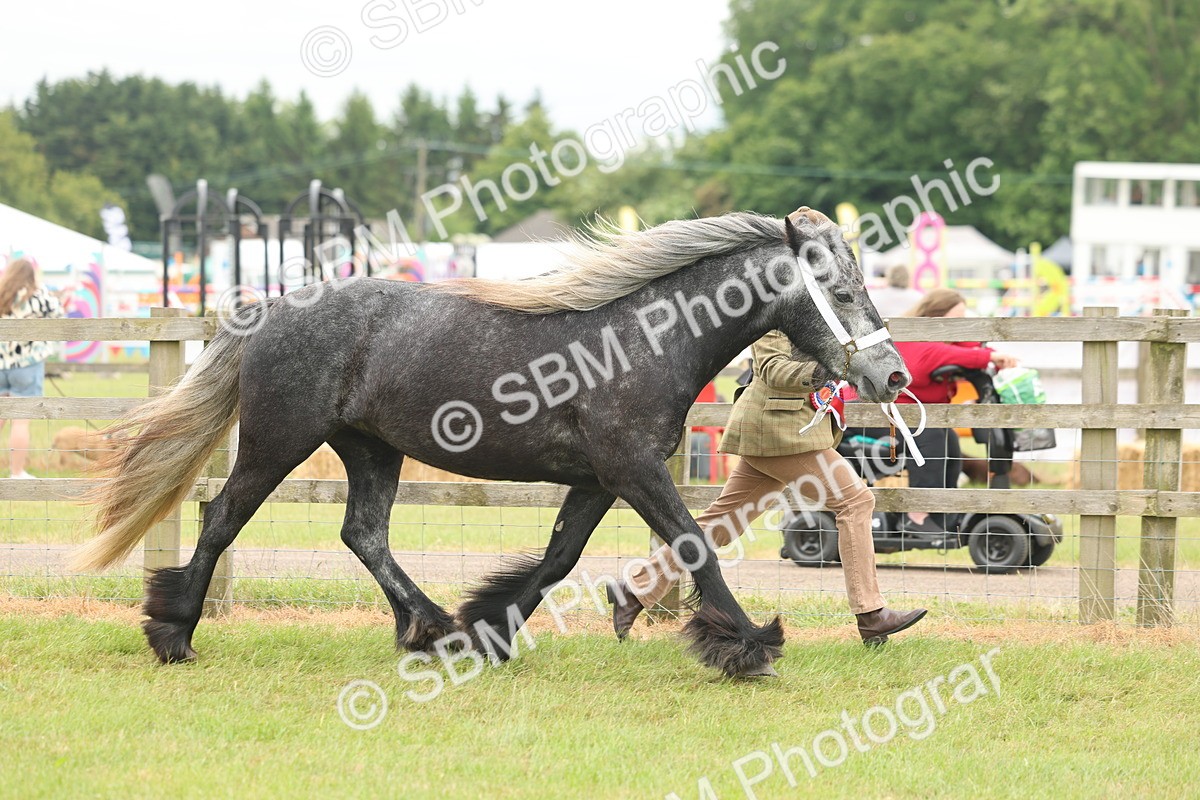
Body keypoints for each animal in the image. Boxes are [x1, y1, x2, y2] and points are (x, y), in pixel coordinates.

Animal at [72, 206, 909, 678]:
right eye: (840, 290)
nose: (893, 374)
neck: (642, 340)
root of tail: (268, 310)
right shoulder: (634, 471)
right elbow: (694, 545)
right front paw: (748, 646)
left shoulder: (600, 480)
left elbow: (559, 558)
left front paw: (490, 630)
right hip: (278, 442)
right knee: (222, 520)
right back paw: (174, 634)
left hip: (370, 449)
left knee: (363, 533)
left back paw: (431, 628)